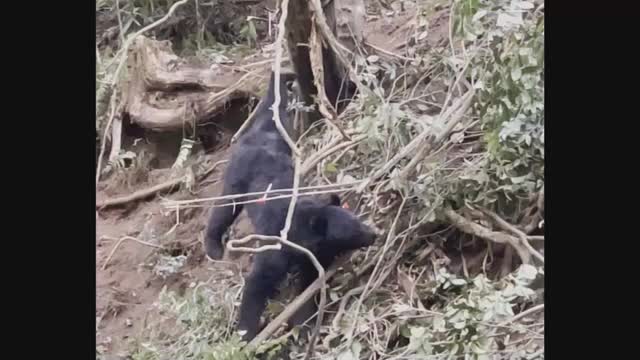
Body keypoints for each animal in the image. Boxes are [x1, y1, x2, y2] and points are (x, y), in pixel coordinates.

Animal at [204, 69, 376, 340]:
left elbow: (307, 288)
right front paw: (247, 335)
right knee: (223, 211)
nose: (374, 233)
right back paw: (214, 247)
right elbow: (256, 285)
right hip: (236, 180)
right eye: (353, 229)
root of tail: (260, 134)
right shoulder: (277, 249)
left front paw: (302, 325)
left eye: (357, 218)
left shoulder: (314, 258)